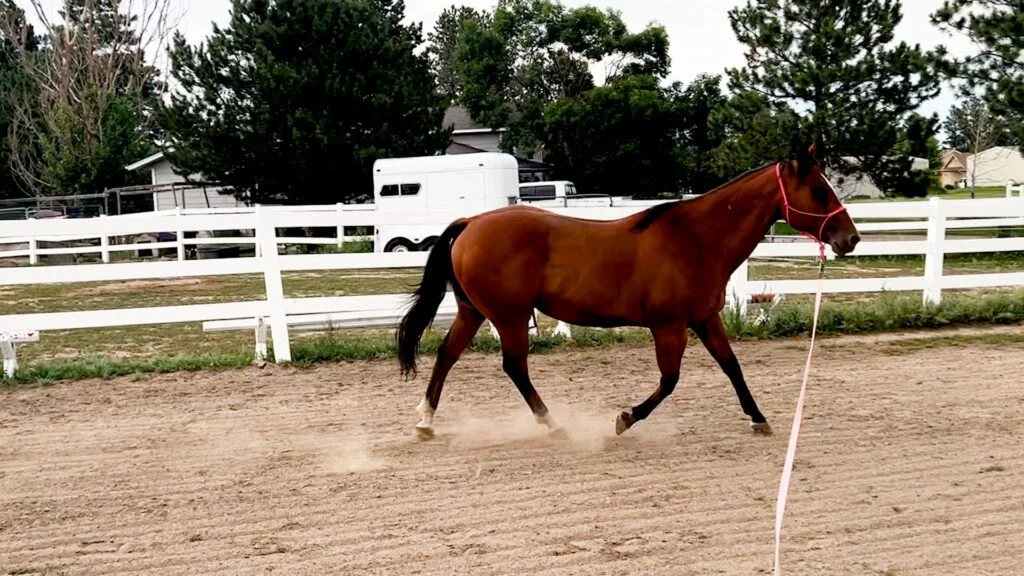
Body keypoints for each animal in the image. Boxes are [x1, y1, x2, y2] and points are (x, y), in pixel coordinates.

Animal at [396, 142, 860, 440]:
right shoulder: (669, 326)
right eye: (820, 190)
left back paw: (425, 422)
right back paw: (553, 424)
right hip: (508, 316)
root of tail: (471, 222)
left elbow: (733, 367)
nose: (850, 238)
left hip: (473, 311)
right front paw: (625, 418)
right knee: (514, 367)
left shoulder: (705, 319)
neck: (696, 239)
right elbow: (670, 380)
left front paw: (758, 418)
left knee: (447, 355)